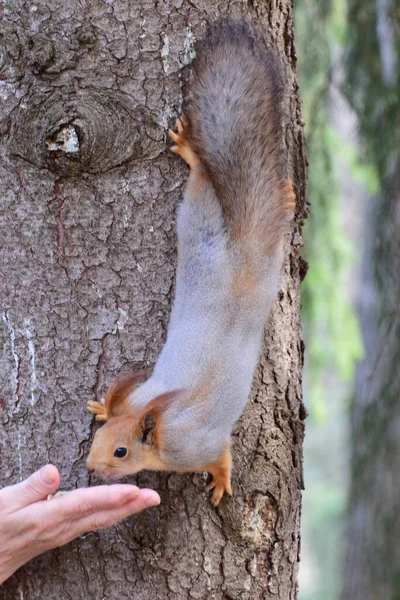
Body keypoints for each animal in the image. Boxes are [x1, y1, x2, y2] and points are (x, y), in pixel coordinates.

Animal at [86, 19, 296, 506]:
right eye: (98, 438)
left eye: (121, 452)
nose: (90, 466)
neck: (158, 421)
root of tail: (243, 252)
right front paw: (102, 404)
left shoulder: (197, 445)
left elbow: (221, 456)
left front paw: (221, 482)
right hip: (230, 243)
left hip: (196, 220)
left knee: (202, 179)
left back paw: (193, 153)